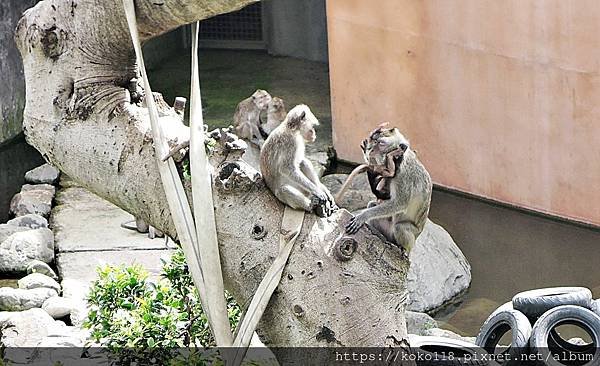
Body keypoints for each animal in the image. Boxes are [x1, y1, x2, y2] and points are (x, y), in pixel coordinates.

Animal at [342, 124, 432, 253]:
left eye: (381, 143)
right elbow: (385, 195)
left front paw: (364, 216)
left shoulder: (403, 175)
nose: (371, 150)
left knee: (400, 227)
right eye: (374, 142)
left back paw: (403, 249)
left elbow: (399, 203)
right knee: (372, 205)